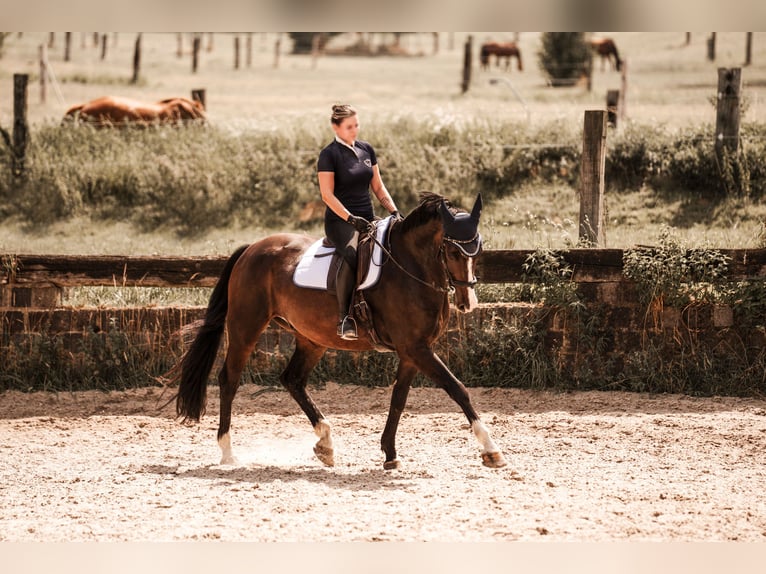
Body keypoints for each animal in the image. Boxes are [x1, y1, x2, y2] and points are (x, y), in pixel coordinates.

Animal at [171, 192, 507, 470]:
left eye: (478, 250)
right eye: (452, 252)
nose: (467, 303)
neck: (411, 268)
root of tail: (251, 249)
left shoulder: (413, 352)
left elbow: (398, 400)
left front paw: (390, 454)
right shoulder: (417, 349)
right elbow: (457, 389)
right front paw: (491, 450)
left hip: (312, 338)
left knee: (292, 380)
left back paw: (325, 443)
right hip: (246, 326)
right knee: (229, 379)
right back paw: (228, 452)